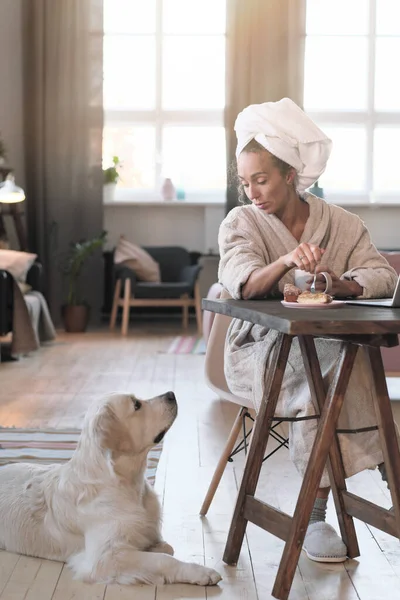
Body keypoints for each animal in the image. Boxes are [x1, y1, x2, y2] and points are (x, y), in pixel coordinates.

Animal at [0, 390, 222, 584]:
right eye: (136, 405)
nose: (171, 394)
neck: (126, 484)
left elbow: (166, 548)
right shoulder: (104, 558)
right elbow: (164, 559)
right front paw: (201, 573)